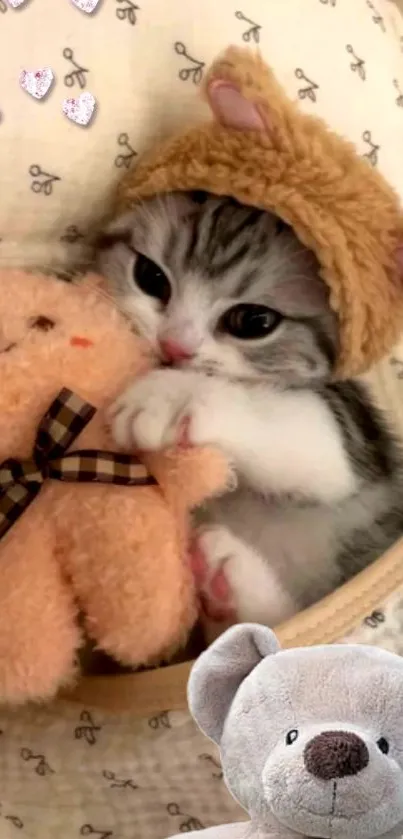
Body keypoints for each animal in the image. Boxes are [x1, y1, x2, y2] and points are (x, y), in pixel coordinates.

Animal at [98, 195, 403, 632]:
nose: (174, 347)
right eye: (151, 277)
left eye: (254, 321)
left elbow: (308, 436)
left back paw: (230, 576)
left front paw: (173, 395)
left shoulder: (358, 439)